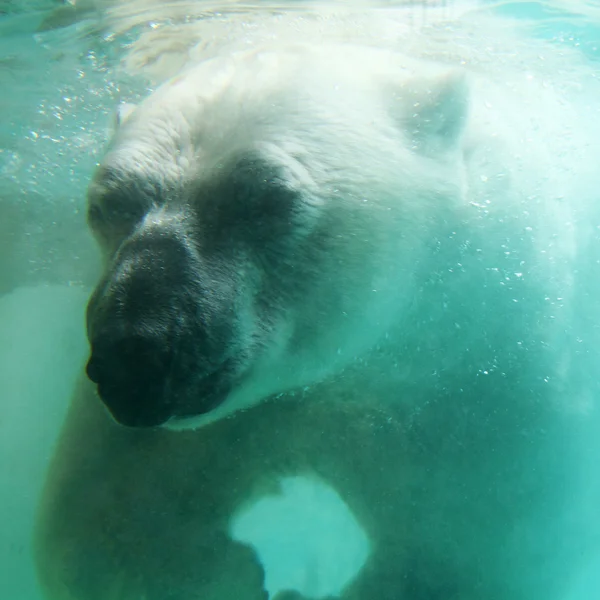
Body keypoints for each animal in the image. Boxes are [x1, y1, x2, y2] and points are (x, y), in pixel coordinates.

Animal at [35, 11, 600, 600]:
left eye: (266, 198)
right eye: (108, 203)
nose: (137, 353)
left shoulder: (486, 388)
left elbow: (459, 556)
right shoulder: (248, 408)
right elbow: (112, 509)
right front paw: (230, 569)